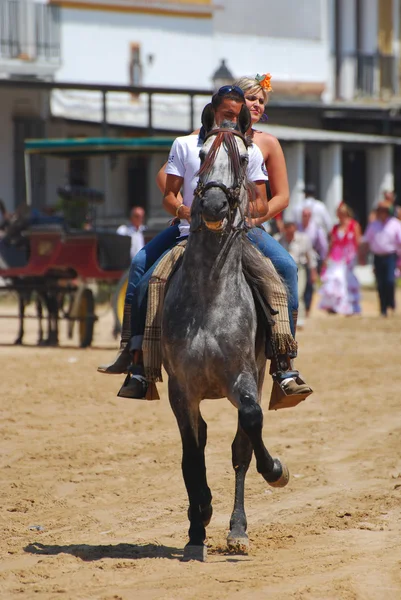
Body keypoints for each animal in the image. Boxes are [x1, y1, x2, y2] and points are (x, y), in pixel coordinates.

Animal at [161, 104, 290, 564]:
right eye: (201, 155)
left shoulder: (243, 377)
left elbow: (249, 428)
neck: (209, 295)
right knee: (198, 446)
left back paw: (237, 530)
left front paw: (276, 471)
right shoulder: (181, 388)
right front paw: (198, 517)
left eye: (243, 158)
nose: (215, 203)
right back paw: (198, 525)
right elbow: (190, 453)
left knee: (240, 450)